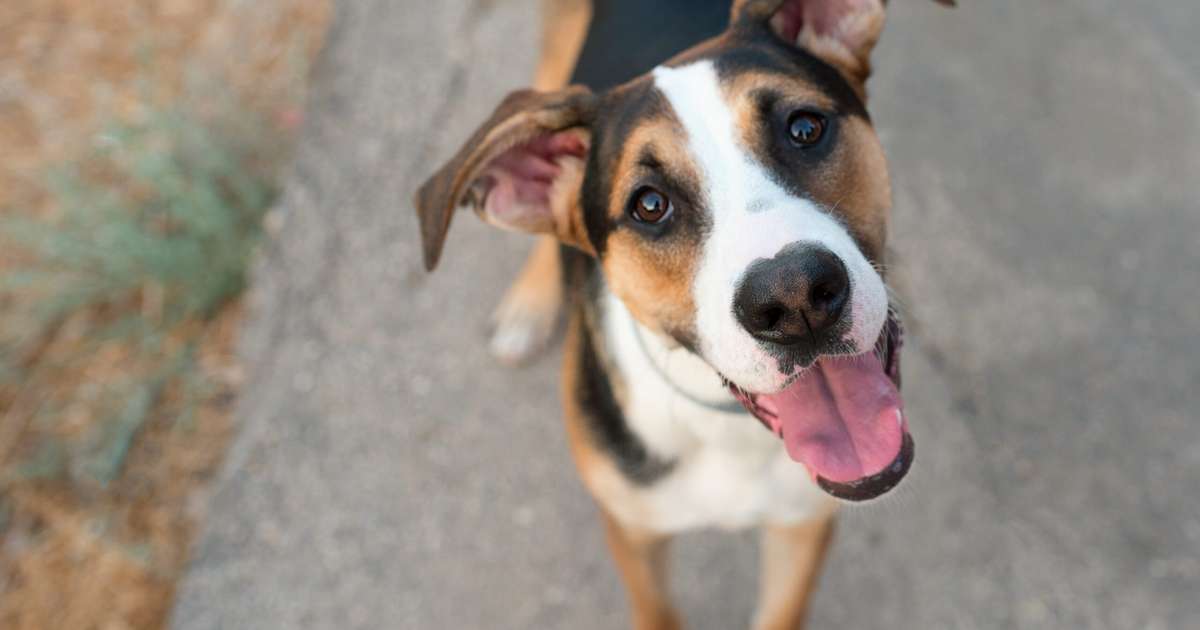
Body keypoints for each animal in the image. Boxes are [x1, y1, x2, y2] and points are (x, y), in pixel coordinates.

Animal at [417, 1, 950, 628]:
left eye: (804, 128)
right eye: (649, 205)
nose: (793, 298)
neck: (726, 426)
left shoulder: (803, 524)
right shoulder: (633, 528)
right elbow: (656, 610)